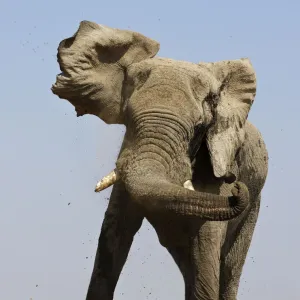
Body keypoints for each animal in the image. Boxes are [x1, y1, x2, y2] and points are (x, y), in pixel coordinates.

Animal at [50, 21, 268, 300]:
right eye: (128, 119)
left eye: (199, 127)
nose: (236, 184)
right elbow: (113, 237)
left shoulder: (217, 172)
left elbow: (205, 246)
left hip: (253, 205)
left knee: (229, 267)